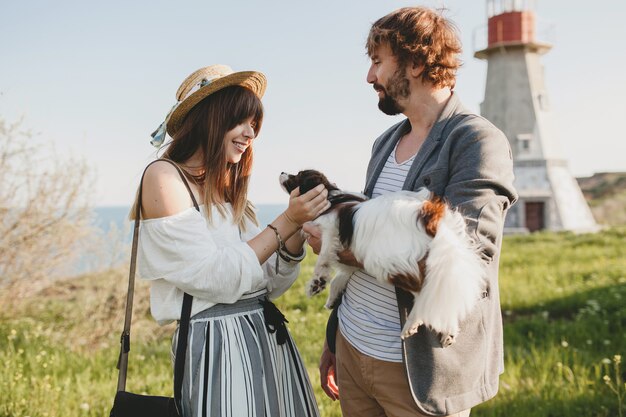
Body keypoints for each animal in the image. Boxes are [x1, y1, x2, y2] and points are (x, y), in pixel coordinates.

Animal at [280, 168, 486, 344]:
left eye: (298, 175)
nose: (282, 172)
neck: (331, 197)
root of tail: (431, 219)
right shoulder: (352, 256)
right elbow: (339, 278)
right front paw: (331, 297)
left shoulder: (330, 229)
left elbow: (323, 261)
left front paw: (316, 284)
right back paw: (449, 331)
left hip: (388, 262)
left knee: (424, 293)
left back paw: (412, 323)